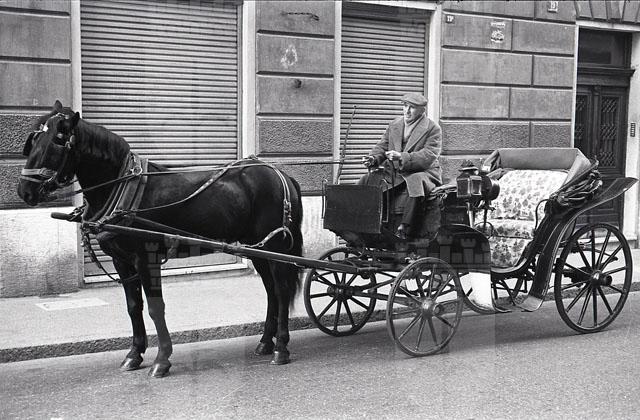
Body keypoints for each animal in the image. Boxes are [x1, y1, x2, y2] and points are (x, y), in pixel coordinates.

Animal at [17, 100, 304, 377]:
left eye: (57, 141)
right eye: (33, 140)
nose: (24, 191)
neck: (121, 186)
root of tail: (280, 174)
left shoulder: (147, 259)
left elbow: (156, 307)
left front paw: (162, 359)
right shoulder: (122, 261)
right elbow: (134, 306)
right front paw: (134, 354)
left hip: (276, 247)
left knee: (281, 290)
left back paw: (281, 347)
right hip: (259, 249)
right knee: (271, 292)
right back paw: (265, 342)